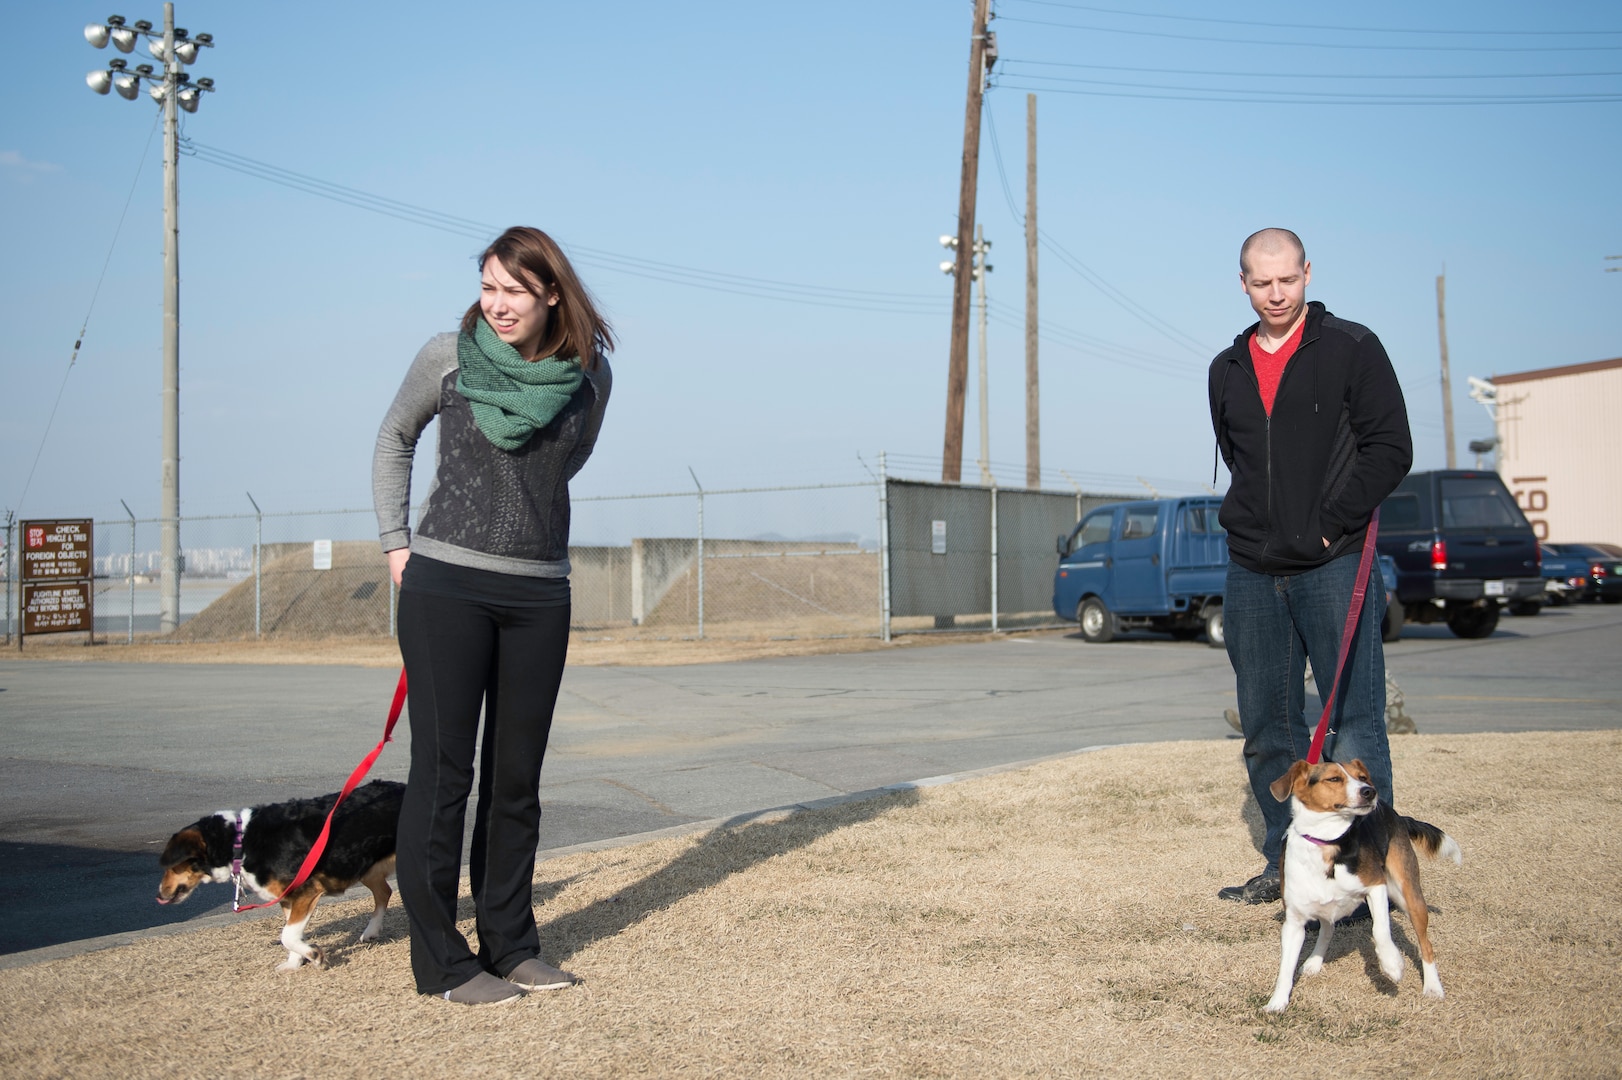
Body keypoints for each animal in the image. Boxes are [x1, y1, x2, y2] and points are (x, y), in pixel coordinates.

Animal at [156, 775, 403, 966]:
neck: (240, 843)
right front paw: (294, 964)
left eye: (170, 866)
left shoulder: (307, 891)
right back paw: (371, 931)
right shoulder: (288, 898)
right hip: (364, 868)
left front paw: (315, 955)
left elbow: (287, 935)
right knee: (384, 892)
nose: (159, 895)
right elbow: (291, 934)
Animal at [1258, 755, 1466, 1011]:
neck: (1327, 842)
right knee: (1328, 928)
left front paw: (1392, 964)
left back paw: (1433, 987)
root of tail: (1396, 815)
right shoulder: (1294, 921)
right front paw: (1277, 1003)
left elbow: (1380, 929)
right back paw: (1314, 962)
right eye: (1334, 779)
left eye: (1363, 777)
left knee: (1425, 944)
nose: (1370, 791)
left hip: (1409, 896)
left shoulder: (1376, 886)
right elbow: (1285, 968)